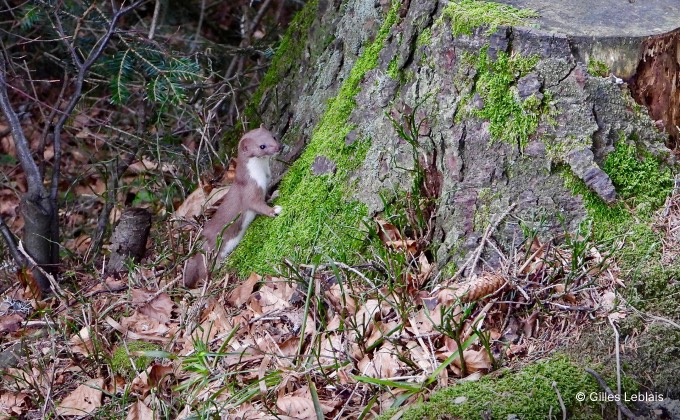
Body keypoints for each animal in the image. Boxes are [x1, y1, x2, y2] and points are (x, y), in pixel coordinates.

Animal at [181, 125, 282, 288]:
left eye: (273, 136)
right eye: (262, 146)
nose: (279, 147)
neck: (262, 176)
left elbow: (266, 197)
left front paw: (274, 194)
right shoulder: (249, 191)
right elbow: (256, 205)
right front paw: (274, 210)